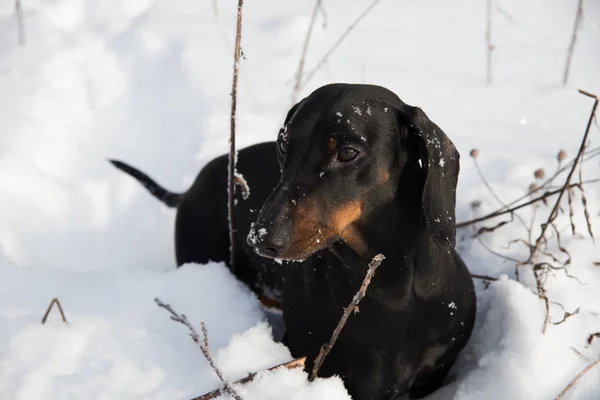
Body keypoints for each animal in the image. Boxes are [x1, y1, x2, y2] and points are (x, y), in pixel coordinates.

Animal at [111, 83, 474, 398]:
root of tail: (188, 190)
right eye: (284, 144)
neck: (390, 292)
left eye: (348, 152)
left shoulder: (435, 373)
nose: (260, 239)